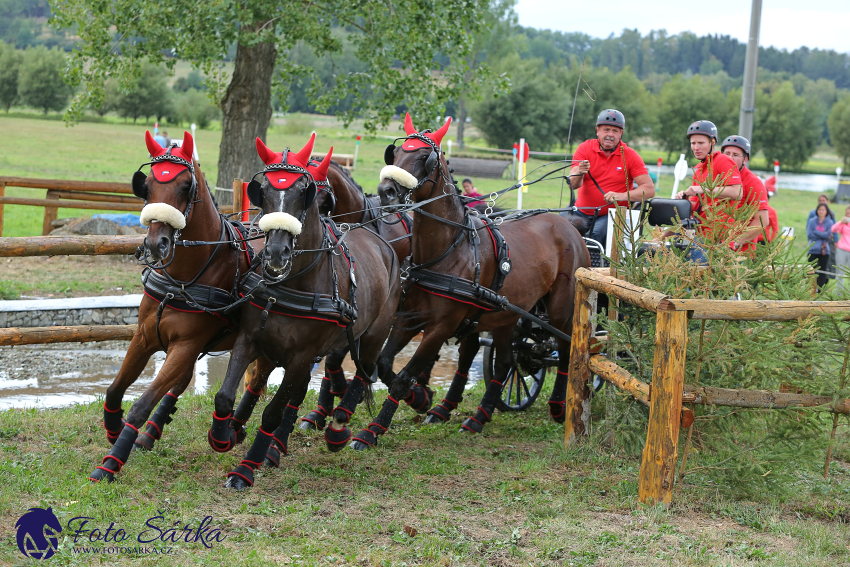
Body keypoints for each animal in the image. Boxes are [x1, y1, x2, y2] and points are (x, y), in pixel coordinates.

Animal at [88, 131, 264, 482]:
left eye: (185, 186)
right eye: (147, 185)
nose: (157, 244)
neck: (184, 277)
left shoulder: (185, 345)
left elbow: (141, 403)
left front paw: (112, 460)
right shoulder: (145, 337)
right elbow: (115, 389)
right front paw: (114, 429)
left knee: (259, 380)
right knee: (182, 383)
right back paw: (153, 432)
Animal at [210, 135, 400, 490]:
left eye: (303, 192)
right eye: (264, 191)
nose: (275, 252)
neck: (292, 282)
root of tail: (383, 243)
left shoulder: (301, 357)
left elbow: (273, 411)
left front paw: (246, 468)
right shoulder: (250, 338)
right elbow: (226, 396)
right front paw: (223, 436)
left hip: (374, 334)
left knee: (363, 373)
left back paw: (339, 427)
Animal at [348, 115, 588, 450]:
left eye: (425, 157)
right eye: (394, 154)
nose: (386, 191)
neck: (449, 249)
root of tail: (568, 224)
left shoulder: (440, 327)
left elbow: (402, 377)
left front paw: (373, 430)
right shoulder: (409, 320)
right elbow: (385, 365)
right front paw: (421, 398)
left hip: (562, 309)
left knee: (567, 351)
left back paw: (557, 407)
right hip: (506, 316)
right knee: (505, 363)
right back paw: (479, 418)